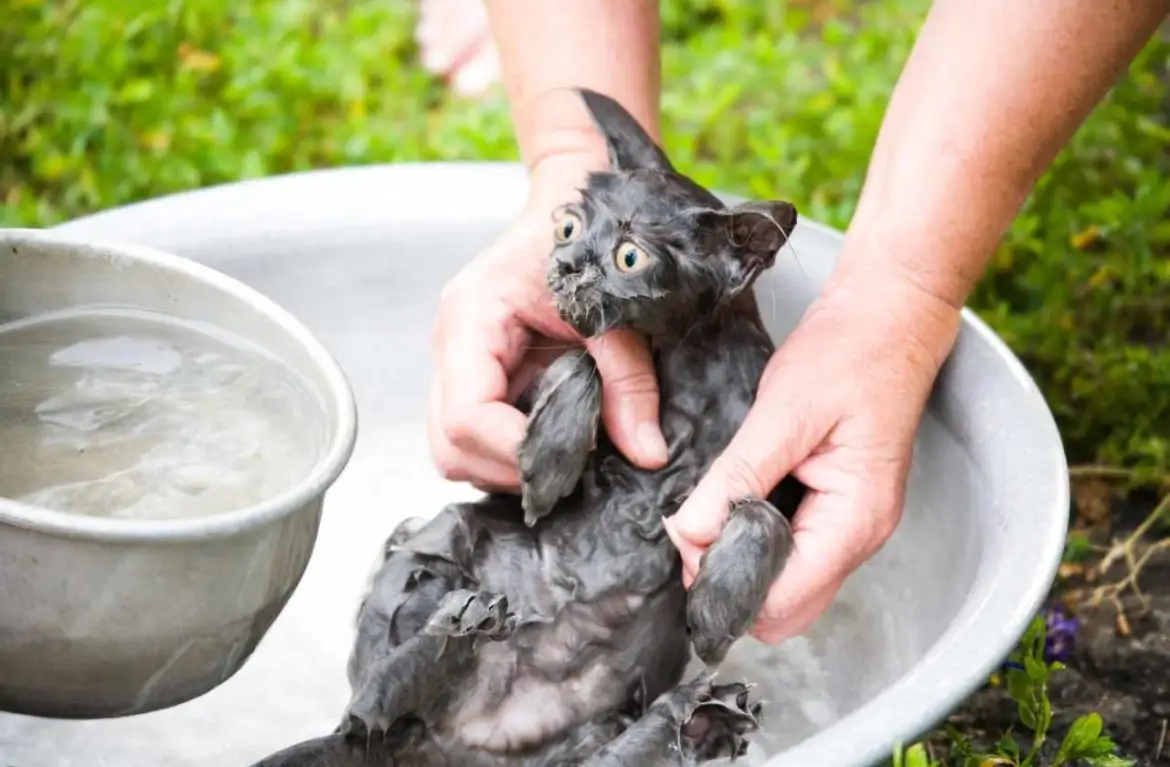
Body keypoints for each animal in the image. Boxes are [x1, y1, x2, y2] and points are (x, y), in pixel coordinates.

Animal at [249, 87, 804, 762]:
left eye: (629, 257)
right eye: (569, 224)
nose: (568, 263)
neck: (695, 381)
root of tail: (451, 743)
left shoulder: (784, 468)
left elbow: (763, 512)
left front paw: (719, 609)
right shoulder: (535, 402)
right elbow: (579, 363)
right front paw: (550, 463)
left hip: (597, 724)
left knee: (614, 750)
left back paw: (701, 715)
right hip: (432, 546)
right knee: (365, 709)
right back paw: (461, 628)